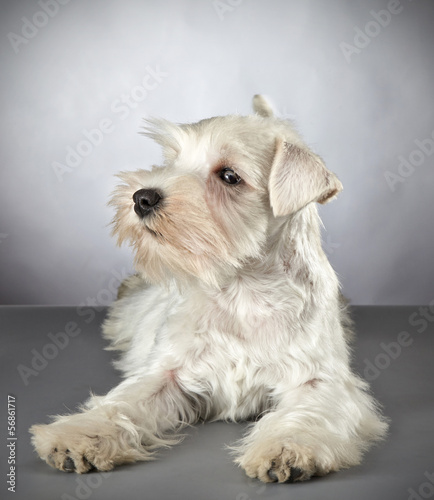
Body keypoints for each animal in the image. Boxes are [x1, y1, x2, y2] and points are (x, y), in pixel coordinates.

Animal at [31, 95, 390, 482]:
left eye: (229, 176)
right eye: (172, 161)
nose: (142, 197)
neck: (243, 289)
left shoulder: (317, 380)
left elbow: (305, 415)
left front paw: (287, 448)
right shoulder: (166, 373)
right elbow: (121, 403)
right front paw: (78, 436)